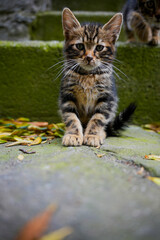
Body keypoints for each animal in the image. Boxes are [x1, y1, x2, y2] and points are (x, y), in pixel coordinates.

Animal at [59, 8, 136, 147]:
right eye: (80, 46)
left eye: (99, 47)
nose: (89, 57)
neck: (87, 75)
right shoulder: (67, 95)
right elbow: (71, 117)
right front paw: (73, 135)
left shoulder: (107, 98)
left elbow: (98, 118)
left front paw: (92, 135)